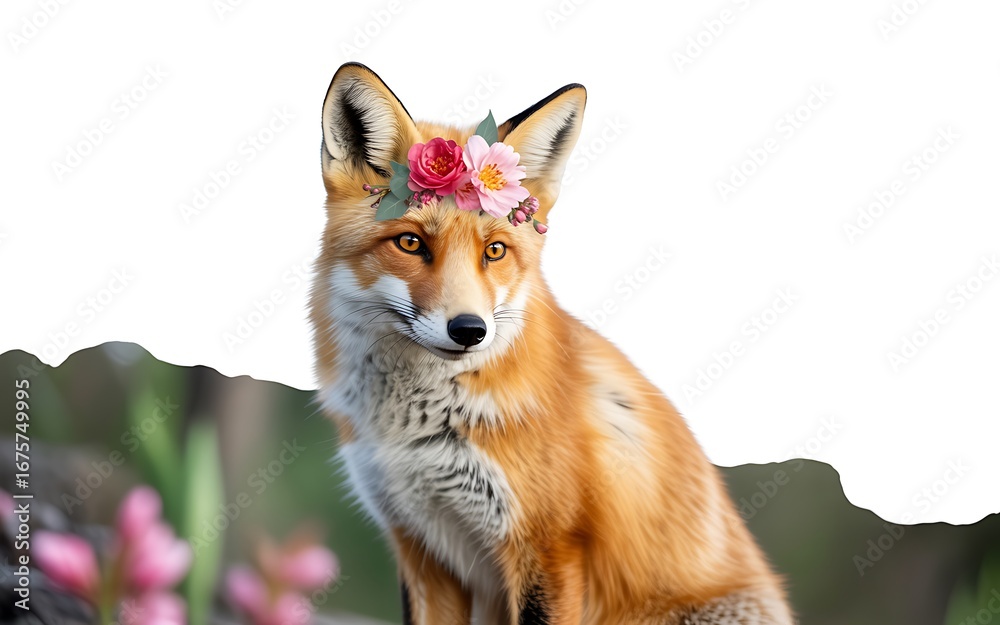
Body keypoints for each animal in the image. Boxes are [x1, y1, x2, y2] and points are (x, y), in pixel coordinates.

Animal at [309, 62, 794, 625]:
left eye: (495, 251)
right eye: (411, 243)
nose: (470, 330)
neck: (410, 430)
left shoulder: (550, 548)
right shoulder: (421, 548)